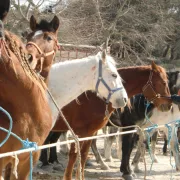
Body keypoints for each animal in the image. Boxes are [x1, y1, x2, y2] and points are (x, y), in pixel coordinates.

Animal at [40, 62, 172, 180]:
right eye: (163, 82)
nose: (169, 106)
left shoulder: (91, 133)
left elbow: (83, 155)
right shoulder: (80, 132)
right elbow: (75, 155)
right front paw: (127, 172)